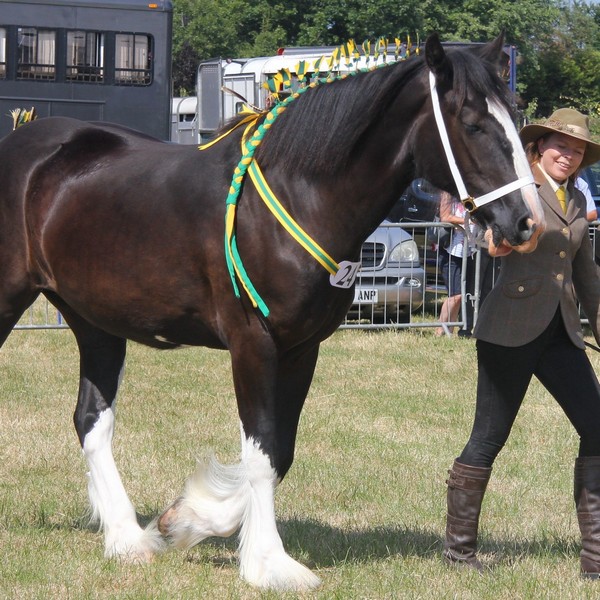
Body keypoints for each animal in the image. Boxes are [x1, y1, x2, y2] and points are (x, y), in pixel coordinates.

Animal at [0, 34, 544, 592]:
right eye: (472, 123)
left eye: (516, 114)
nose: (527, 221)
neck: (299, 195)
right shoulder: (252, 344)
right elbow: (260, 454)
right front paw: (267, 562)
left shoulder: (302, 349)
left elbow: (279, 450)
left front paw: (188, 519)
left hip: (96, 322)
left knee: (92, 419)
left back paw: (128, 539)